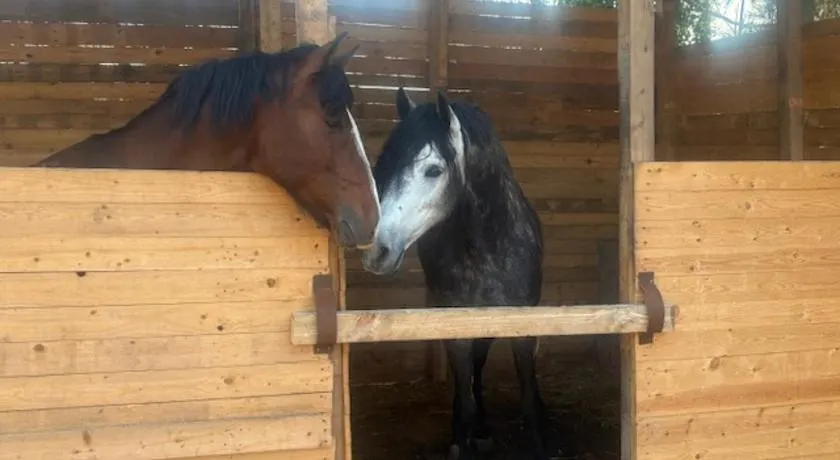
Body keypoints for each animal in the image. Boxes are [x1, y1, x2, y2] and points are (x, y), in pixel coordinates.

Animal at [361, 88, 548, 460]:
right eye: (383, 166)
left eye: (433, 170)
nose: (376, 251)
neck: (489, 249)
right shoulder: (457, 329)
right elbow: (466, 400)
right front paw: (462, 440)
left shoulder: (521, 326)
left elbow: (528, 397)